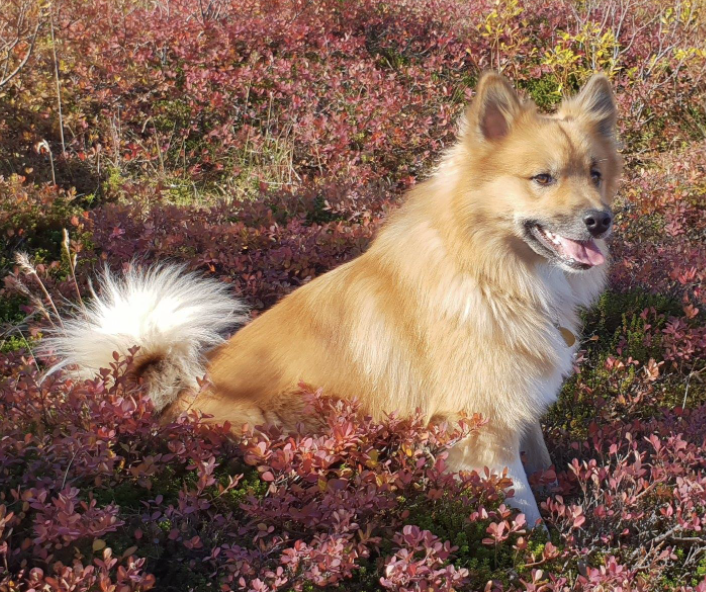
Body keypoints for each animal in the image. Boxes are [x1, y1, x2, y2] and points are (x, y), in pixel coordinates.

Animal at [44, 71, 620, 524]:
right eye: (542, 178)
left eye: (595, 174)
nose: (601, 220)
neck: (489, 273)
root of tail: (170, 397)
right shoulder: (483, 424)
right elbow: (523, 505)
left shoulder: (520, 407)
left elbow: (542, 466)